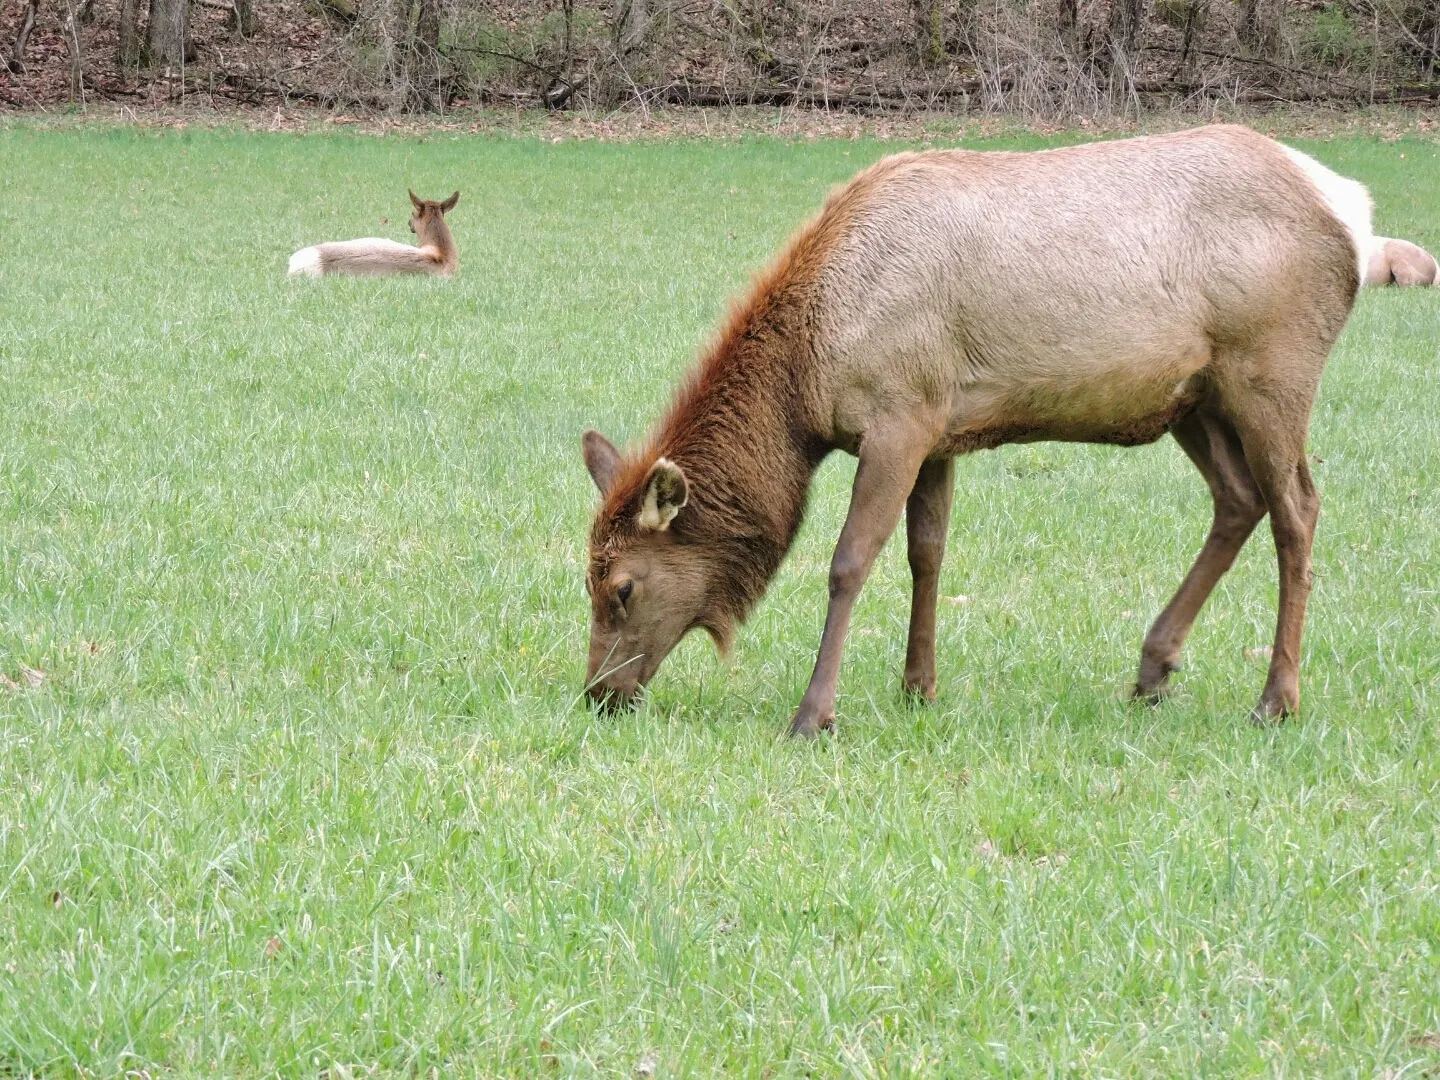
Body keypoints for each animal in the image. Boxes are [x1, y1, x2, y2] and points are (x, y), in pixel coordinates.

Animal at [578, 124, 1365, 737]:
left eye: (622, 588)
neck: (811, 381)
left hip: (1271, 370)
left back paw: (1276, 699)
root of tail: (1349, 211)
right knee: (1238, 499)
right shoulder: (937, 426)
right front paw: (918, 687)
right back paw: (1152, 670)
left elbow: (850, 561)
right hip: (1196, 399)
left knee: (1297, 509)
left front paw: (814, 714)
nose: (597, 696)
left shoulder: (898, 417)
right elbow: (926, 553)